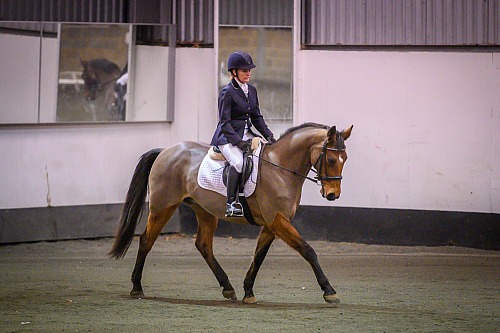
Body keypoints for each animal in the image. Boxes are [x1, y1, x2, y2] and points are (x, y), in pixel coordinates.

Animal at [109, 122, 352, 304]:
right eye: (331, 159)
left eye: (345, 160)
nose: (333, 195)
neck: (280, 168)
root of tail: (166, 151)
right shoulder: (277, 221)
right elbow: (308, 250)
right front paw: (329, 290)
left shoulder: (272, 224)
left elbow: (258, 256)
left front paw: (248, 292)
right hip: (163, 208)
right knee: (146, 241)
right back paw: (137, 287)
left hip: (204, 211)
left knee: (203, 245)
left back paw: (228, 287)